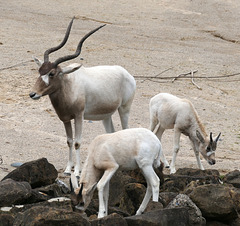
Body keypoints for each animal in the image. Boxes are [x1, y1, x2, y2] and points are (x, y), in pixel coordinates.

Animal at [29, 17, 136, 177]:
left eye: (52, 73)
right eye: (40, 71)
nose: (33, 94)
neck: (70, 85)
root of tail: (127, 74)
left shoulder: (79, 116)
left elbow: (78, 142)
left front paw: (77, 171)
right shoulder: (65, 119)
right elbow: (69, 141)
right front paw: (68, 169)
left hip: (124, 109)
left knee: (125, 129)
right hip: (106, 116)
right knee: (111, 133)